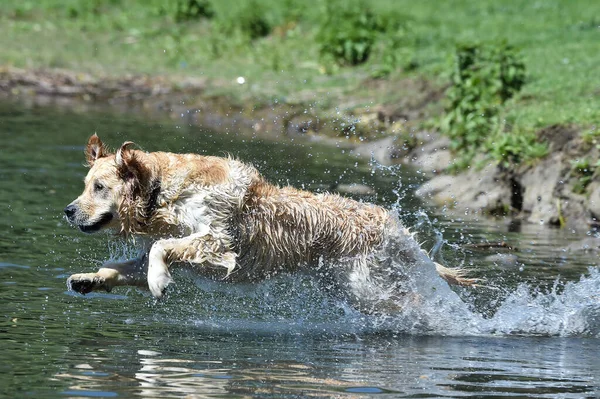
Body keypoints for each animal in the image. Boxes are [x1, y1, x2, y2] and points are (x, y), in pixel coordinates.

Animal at [63, 134, 472, 312]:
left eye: (99, 187)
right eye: (84, 185)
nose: (67, 210)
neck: (162, 195)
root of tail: (393, 226)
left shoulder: (218, 238)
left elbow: (162, 250)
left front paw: (159, 281)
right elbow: (133, 262)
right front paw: (90, 278)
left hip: (368, 285)